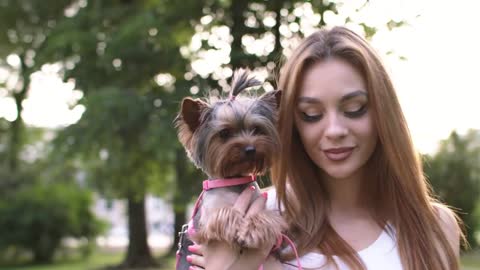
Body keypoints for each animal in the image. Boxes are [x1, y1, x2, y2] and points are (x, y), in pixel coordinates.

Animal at [173, 68, 284, 268]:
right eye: (224, 133)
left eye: (256, 129)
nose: (250, 149)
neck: (234, 181)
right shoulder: (205, 220)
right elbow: (224, 213)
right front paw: (239, 227)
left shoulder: (260, 204)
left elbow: (269, 219)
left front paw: (254, 228)